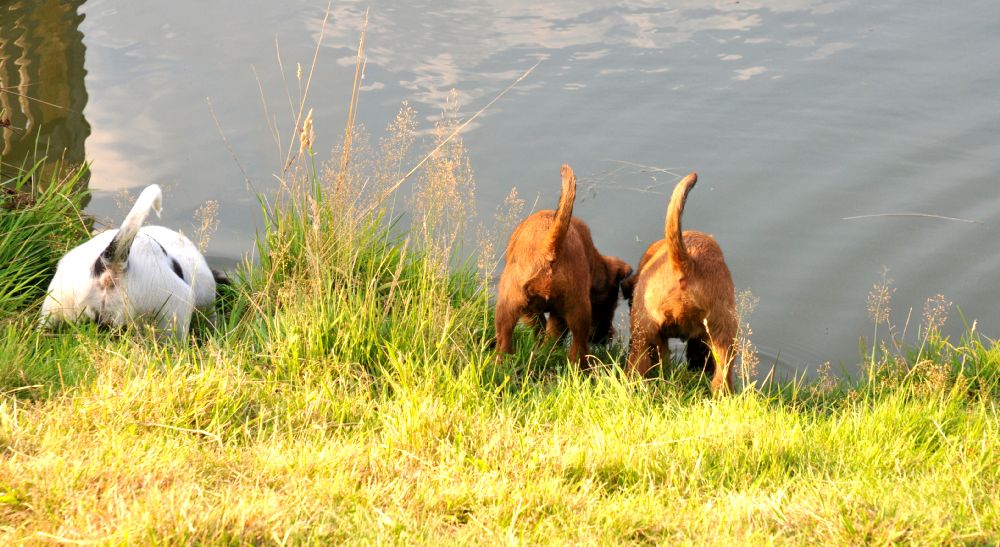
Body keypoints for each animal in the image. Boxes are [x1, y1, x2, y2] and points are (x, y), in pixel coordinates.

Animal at [494, 165, 632, 366]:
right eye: (612, 305)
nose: (606, 338)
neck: (593, 261)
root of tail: (549, 249)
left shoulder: (533, 312)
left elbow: (542, 331)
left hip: (507, 307)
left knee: (504, 344)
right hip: (579, 312)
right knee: (578, 351)